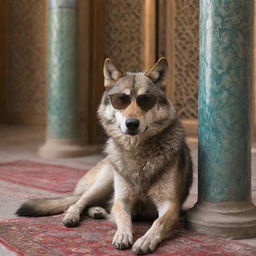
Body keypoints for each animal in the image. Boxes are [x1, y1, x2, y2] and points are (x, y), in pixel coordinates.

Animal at [16, 58, 192, 254]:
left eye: (145, 100)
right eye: (121, 100)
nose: (131, 123)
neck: (137, 151)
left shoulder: (170, 205)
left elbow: (158, 222)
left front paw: (145, 240)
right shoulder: (122, 201)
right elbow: (123, 217)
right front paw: (122, 235)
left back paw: (97, 211)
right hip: (105, 181)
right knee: (79, 201)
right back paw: (73, 215)